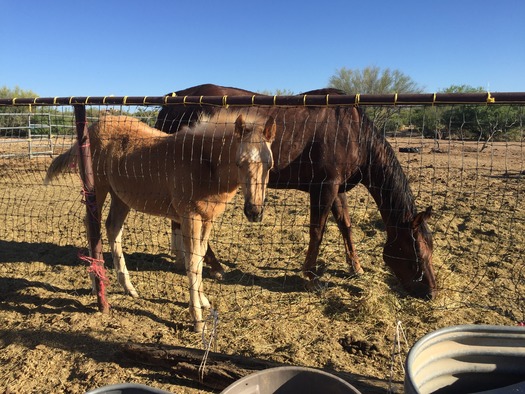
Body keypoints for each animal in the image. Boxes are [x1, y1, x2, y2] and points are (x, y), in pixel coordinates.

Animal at [44, 111, 278, 332]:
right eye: (240, 163)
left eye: (270, 165)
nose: (254, 211)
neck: (203, 163)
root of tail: (92, 127)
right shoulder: (190, 216)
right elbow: (193, 261)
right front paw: (197, 319)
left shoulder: (208, 219)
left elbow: (201, 257)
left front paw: (203, 300)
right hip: (97, 188)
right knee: (91, 226)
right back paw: (96, 285)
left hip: (121, 196)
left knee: (113, 228)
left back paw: (128, 287)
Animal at [157, 83, 438, 298]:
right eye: (415, 252)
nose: (431, 292)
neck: (354, 132)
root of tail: (171, 102)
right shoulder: (324, 188)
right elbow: (318, 230)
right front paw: (312, 277)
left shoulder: (337, 188)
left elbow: (345, 225)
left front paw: (355, 266)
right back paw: (214, 266)